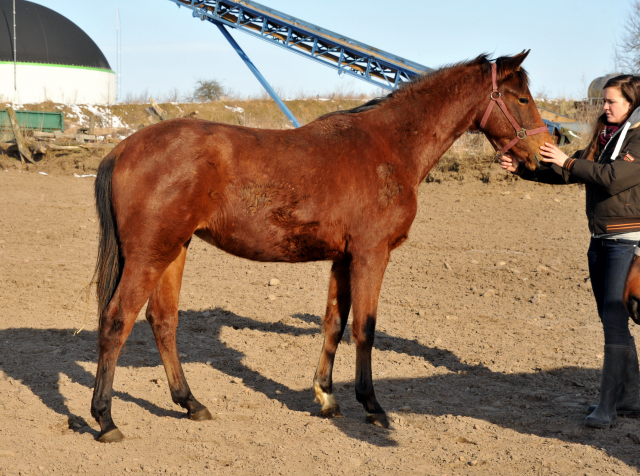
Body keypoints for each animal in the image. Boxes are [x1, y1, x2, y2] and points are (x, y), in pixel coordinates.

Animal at [89, 51, 552, 442]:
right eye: (522, 98)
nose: (541, 153)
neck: (387, 147)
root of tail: (123, 149)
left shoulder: (343, 259)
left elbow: (334, 323)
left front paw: (327, 396)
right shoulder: (371, 255)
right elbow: (365, 328)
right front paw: (373, 406)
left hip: (175, 250)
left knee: (163, 321)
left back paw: (190, 403)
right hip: (150, 255)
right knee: (116, 322)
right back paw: (105, 419)